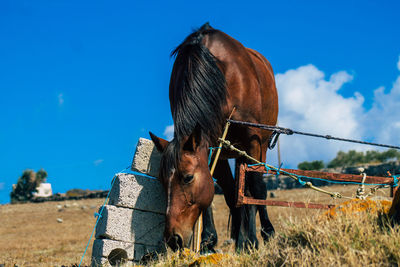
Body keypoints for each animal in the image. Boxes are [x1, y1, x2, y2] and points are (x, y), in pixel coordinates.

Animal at [149, 22, 278, 251]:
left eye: (188, 177)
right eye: (162, 181)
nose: (173, 239)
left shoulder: (252, 140)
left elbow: (256, 186)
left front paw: (259, 237)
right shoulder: (213, 144)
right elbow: (228, 193)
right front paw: (211, 241)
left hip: (260, 145)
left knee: (255, 188)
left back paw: (258, 234)